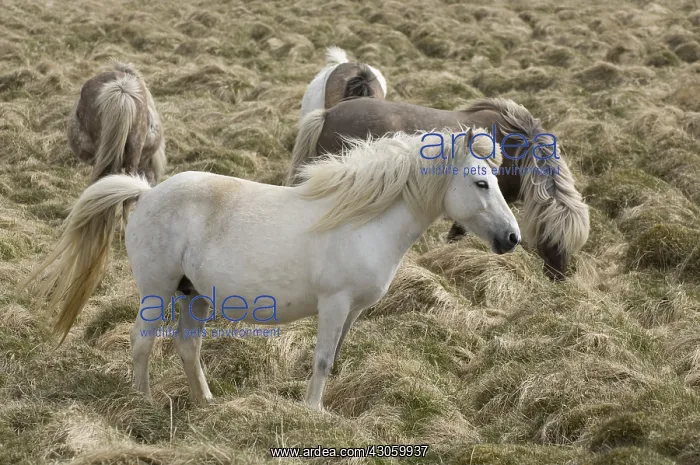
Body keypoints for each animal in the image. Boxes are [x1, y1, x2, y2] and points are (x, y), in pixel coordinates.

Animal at [18, 128, 520, 409]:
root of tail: (145, 193)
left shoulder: (352, 312)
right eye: (481, 182)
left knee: (187, 347)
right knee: (141, 342)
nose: (512, 239)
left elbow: (334, 357)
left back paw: (206, 403)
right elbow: (322, 360)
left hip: (192, 296)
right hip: (156, 292)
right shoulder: (334, 304)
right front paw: (312, 413)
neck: (362, 220)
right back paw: (143, 403)